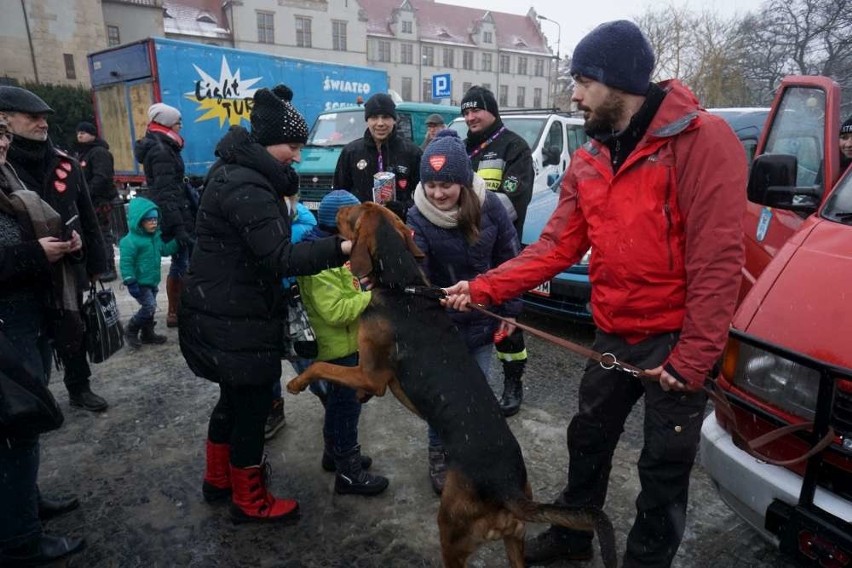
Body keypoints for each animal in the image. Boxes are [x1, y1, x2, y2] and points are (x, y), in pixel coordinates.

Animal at [290, 204, 616, 568]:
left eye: (353, 215)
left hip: (451, 531)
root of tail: (507, 490)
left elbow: (320, 365)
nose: (333, 209)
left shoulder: (370, 373)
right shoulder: (370, 375)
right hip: (515, 539)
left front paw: (295, 383)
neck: (402, 287)